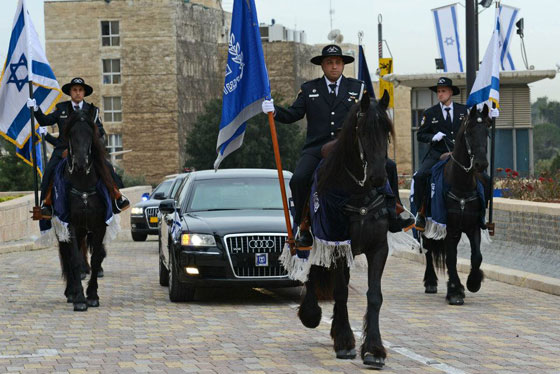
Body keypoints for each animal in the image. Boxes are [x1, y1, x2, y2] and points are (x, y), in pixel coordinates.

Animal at [57, 111, 114, 312]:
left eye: (90, 134)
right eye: (71, 134)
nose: (81, 163)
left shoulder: (99, 226)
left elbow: (97, 257)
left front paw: (93, 295)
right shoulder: (70, 225)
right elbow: (74, 259)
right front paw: (80, 298)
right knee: (67, 256)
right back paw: (71, 292)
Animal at [298, 91, 394, 368]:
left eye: (386, 129)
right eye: (361, 130)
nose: (377, 177)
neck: (358, 193)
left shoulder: (378, 248)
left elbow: (374, 295)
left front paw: (373, 349)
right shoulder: (335, 244)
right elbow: (340, 292)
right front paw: (344, 342)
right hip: (315, 242)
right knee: (313, 270)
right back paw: (311, 313)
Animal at [424, 103, 490, 306]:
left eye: (487, 131)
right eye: (469, 132)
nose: (481, 164)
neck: (461, 183)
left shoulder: (473, 226)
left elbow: (477, 256)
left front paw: (473, 282)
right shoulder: (449, 227)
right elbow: (451, 258)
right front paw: (454, 291)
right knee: (428, 249)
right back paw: (430, 282)